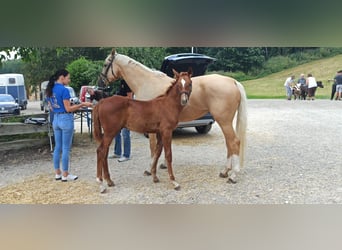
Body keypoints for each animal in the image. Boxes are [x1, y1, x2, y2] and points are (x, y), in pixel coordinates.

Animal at [100, 48, 247, 183]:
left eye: (106, 64)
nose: (101, 83)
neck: (147, 82)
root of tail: (232, 81)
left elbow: (153, 148)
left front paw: (150, 170)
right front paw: (162, 165)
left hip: (224, 121)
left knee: (234, 142)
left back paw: (233, 175)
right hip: (224, 121)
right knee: (229, 143)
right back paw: (225, 171)